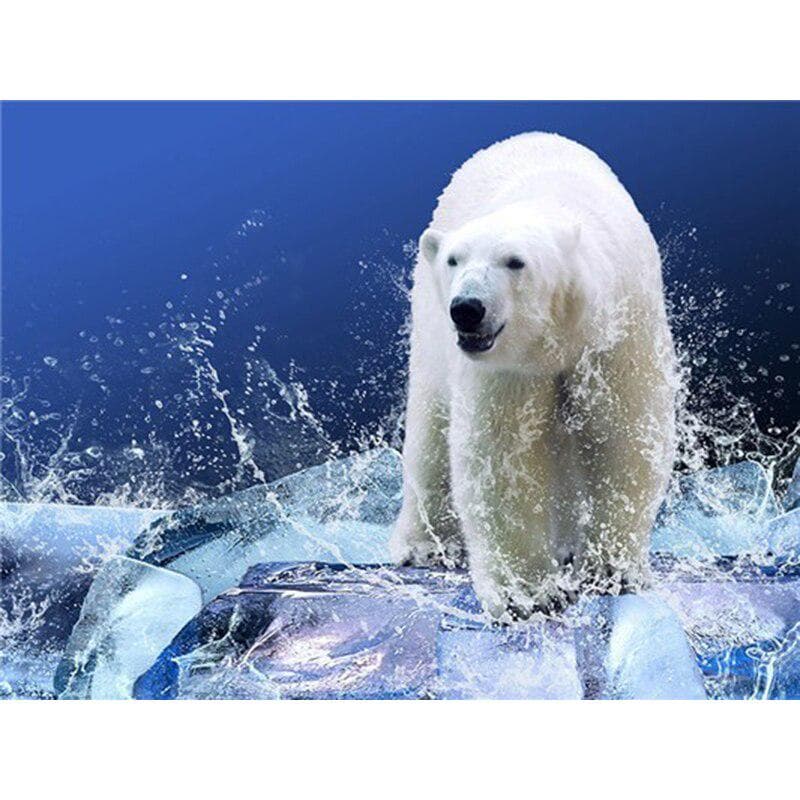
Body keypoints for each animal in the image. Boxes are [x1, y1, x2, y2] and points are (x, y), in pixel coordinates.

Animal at [390, 132, 677, 622]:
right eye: (454, 259)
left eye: (514, 261)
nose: (467, 308)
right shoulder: (508, 367)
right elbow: (503, 456)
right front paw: (528, 594)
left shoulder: (618, 331)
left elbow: (626, 435)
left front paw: (611, 571)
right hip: (429, 329)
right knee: (431, 432)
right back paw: (424, 544)